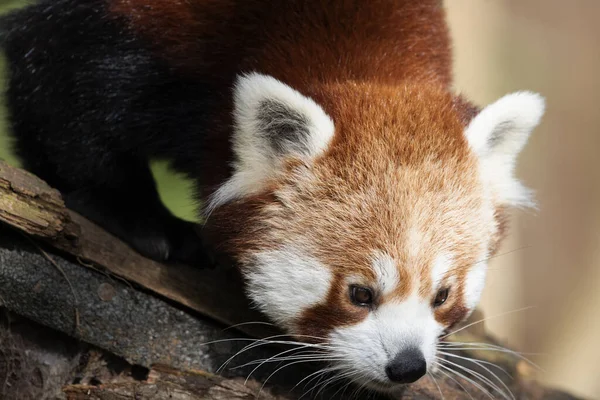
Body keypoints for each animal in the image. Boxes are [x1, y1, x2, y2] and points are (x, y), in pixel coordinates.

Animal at [0, 0, 544, 392]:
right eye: (359, 293)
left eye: (442, 295)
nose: (407, 366)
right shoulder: (143, 32)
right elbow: (63, 85)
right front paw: (134, 213)